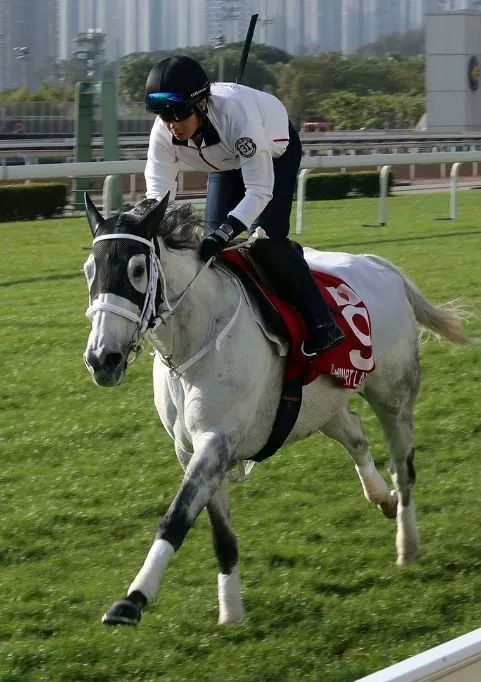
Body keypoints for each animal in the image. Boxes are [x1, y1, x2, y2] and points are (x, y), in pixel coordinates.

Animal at [82, 194, 468, 624]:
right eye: (89, 269)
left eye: (136, 269)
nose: (102, 359)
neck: (197, 335)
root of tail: (382, 266)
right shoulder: (190, 449)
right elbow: (220, 533)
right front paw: (231, 612)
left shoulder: (215, 442)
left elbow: (176, 517)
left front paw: (132, 600)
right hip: (320, 405)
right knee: (354, 435)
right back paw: (382, 498)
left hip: (393, 399)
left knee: (404, 469)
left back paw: (407, 543)